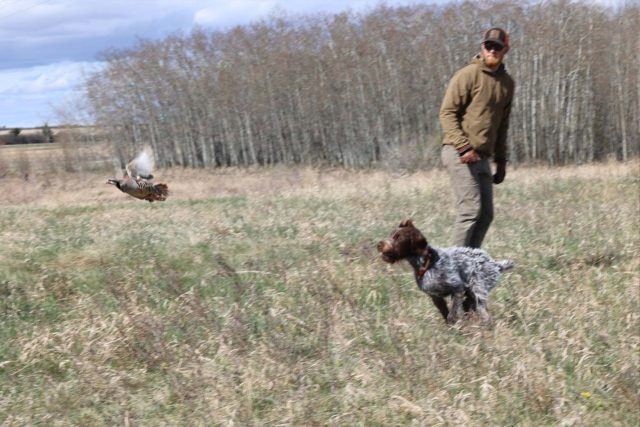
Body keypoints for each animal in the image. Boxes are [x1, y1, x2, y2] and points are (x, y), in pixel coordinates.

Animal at [378, 221, 512, 324]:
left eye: (397, 237)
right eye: (391, 234)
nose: (379, 245)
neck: (427, 263)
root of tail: (495, 264)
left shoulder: (457, 288)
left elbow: (452, 313)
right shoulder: (435, 297)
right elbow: (445, 313)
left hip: (479, 288)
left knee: (482, 310)